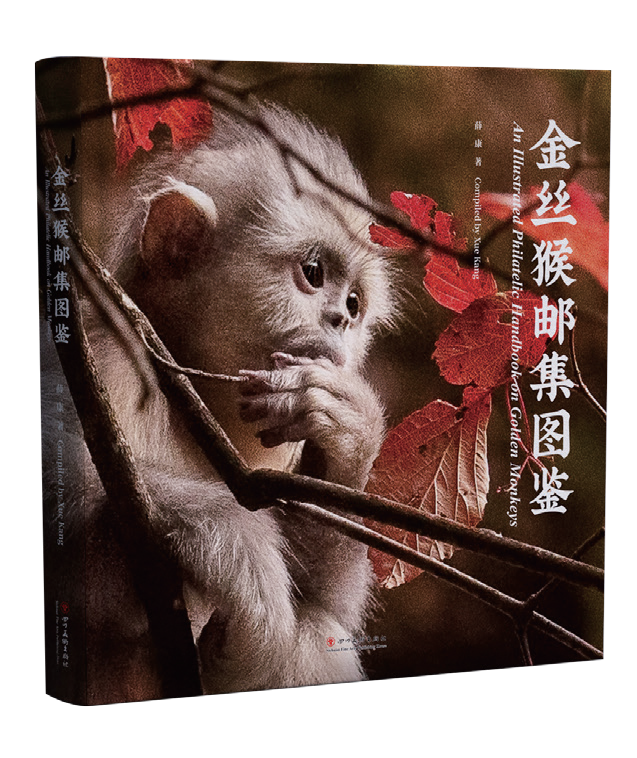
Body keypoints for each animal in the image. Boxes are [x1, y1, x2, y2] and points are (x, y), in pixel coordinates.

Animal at [43, 104, 396, 703]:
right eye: (314, 273)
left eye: (354, 303)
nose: (339, 321)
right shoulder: (106, 350)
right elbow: (69, 518)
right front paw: (241, 558)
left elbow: (326, 611)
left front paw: (349, 429)